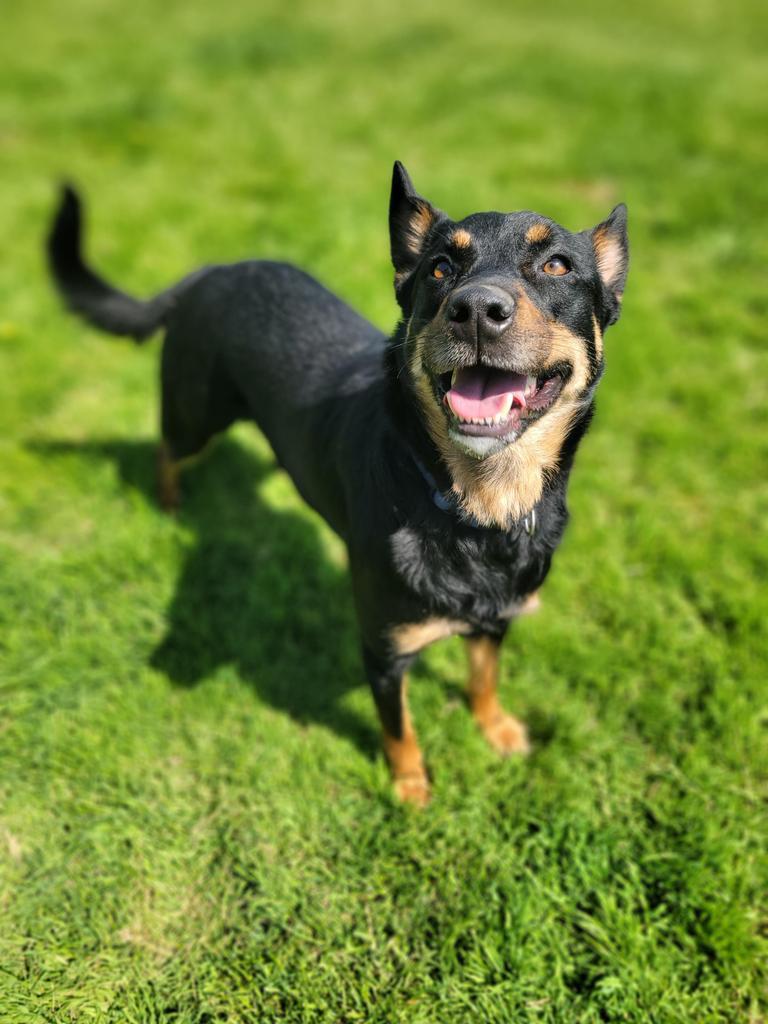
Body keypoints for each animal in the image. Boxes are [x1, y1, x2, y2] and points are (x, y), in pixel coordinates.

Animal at [45, 163, 626, 802]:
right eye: (439, 269)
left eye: (557, 266)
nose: (475, 309)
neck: (472, 507)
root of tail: (209, 273)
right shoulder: (383, 649)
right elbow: (399, 728)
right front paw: (410, 788)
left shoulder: (497, 617)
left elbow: (483, 677)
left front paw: (495, 730)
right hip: (198, 411)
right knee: (167, 448)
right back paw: (170, 502)